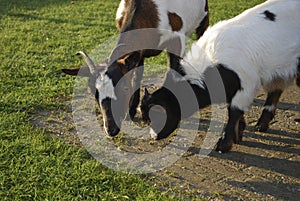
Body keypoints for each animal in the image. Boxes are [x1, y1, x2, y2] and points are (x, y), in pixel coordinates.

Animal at [62, 0, 210, 137]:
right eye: (93, 93)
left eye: (124, 89)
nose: (111, 130)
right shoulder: (139, 52)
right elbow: (137, 76)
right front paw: (132, 111)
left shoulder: (176, 40)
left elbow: (172, 70)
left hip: (204, 18)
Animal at [141, 0, 300, 152]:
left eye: (157, 115)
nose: (153, 137)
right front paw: (239, 134)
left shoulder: (246, 84)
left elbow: (234, 111)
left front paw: (223, 145)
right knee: (276, 90)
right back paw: (261, 125)